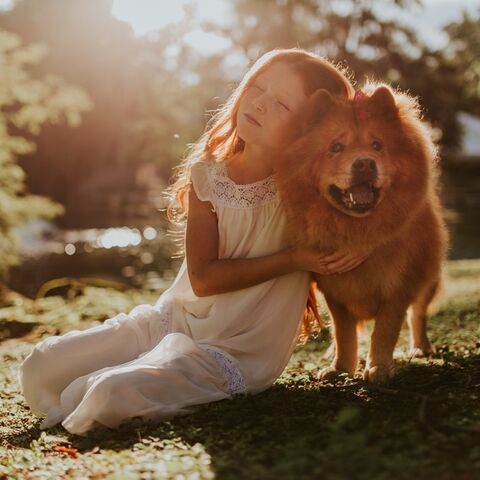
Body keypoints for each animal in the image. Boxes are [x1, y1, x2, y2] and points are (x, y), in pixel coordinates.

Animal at [276, 82, 448, 382]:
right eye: (336, 147)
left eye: (377, 145)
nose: (365, 163)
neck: (356, 228)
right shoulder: (334, 291)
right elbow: (344, 332)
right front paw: (341, 368)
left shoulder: (399, 287)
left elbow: (386, 331)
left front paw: (378, 368)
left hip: (428, 277)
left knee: (418, 314)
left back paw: (421, 348)